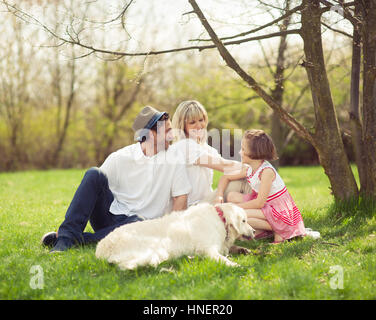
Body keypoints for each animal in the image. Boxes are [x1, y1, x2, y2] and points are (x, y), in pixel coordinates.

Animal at [95, 202, 254, 270]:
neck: (221, 219)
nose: (253, 231)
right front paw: (236, 265)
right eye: (244, 221)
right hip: (158, 246)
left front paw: (243, 250)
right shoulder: (208, 248)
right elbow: (222, 259)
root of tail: (100, 249)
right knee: (128, 265)